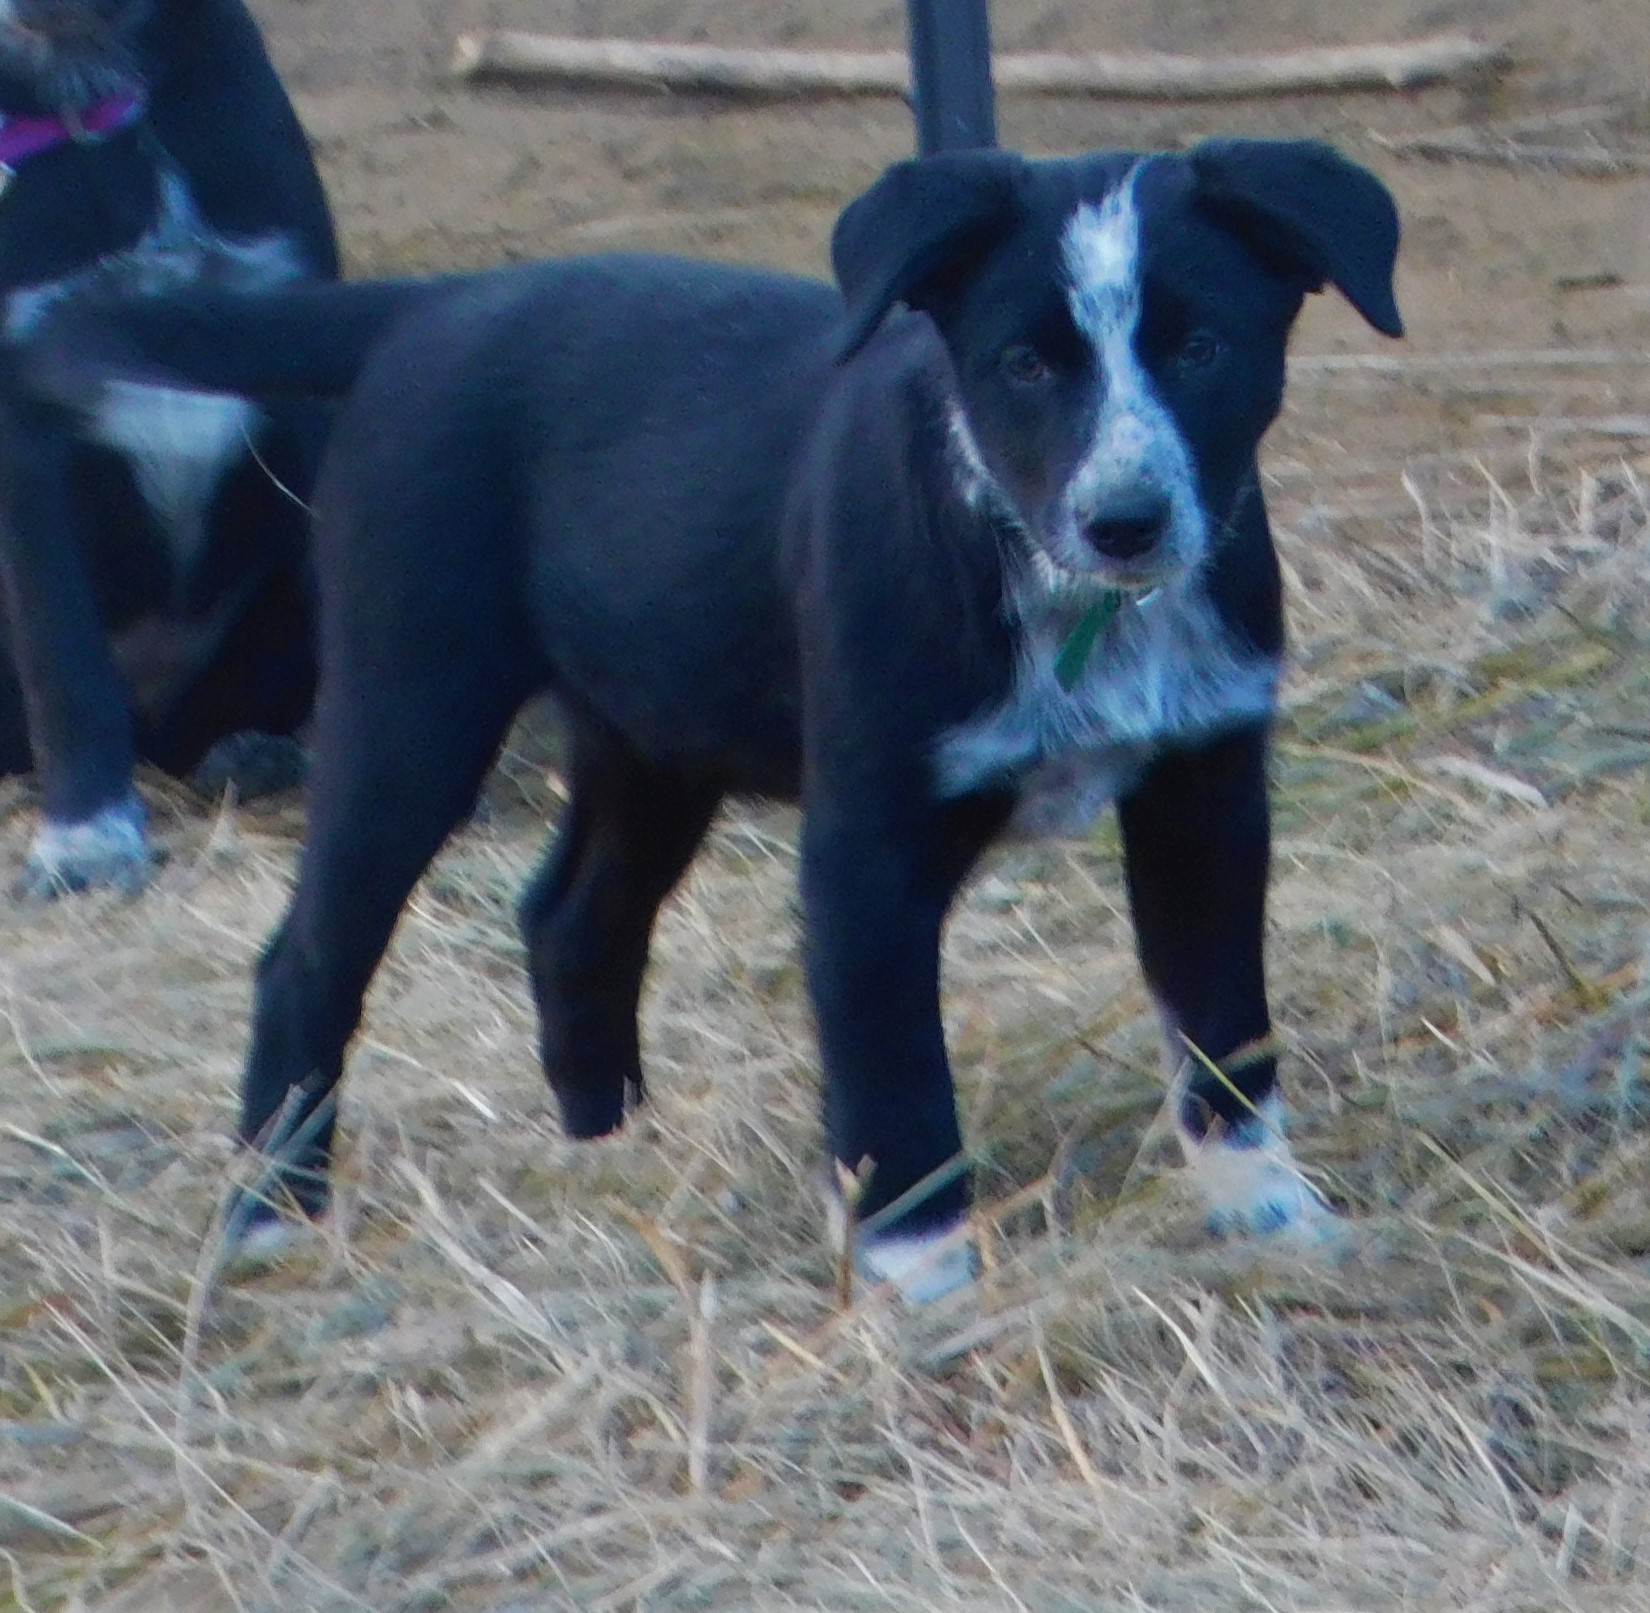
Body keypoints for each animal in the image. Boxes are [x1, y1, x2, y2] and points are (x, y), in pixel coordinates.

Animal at [16, 138, 1405, 1293]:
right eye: (1024, 364)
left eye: (1201, 349)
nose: (1126, 522)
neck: (1058, 592)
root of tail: (429, 305)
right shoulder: (866, 843)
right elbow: (895, 1080)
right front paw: (921, 1286)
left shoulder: (1206, 798)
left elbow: (1226, 1033)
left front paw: (1268, 1213)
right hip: (412, 707)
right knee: (306, 958)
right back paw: (270, 1216)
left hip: (654, 731)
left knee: (572, 922)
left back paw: (608, 1153)